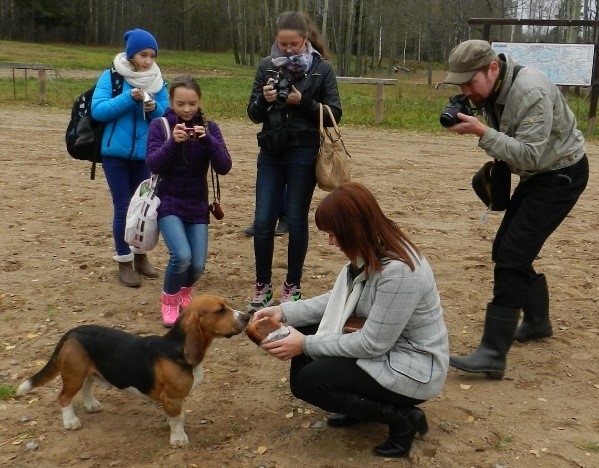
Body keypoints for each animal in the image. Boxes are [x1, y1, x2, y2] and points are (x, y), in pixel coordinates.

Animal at [16, 296, 250, 446]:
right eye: (220, 310)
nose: (247, 316)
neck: (177, 347)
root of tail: (73, 331)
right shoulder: (172, 398)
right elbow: (177, 420)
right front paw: (178, 439)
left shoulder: (174, 401)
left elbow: (178, 417)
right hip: (73, 375)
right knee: (64, 397)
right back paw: (70, 421)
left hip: (88, 372)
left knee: (87, 387)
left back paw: (91, 405)